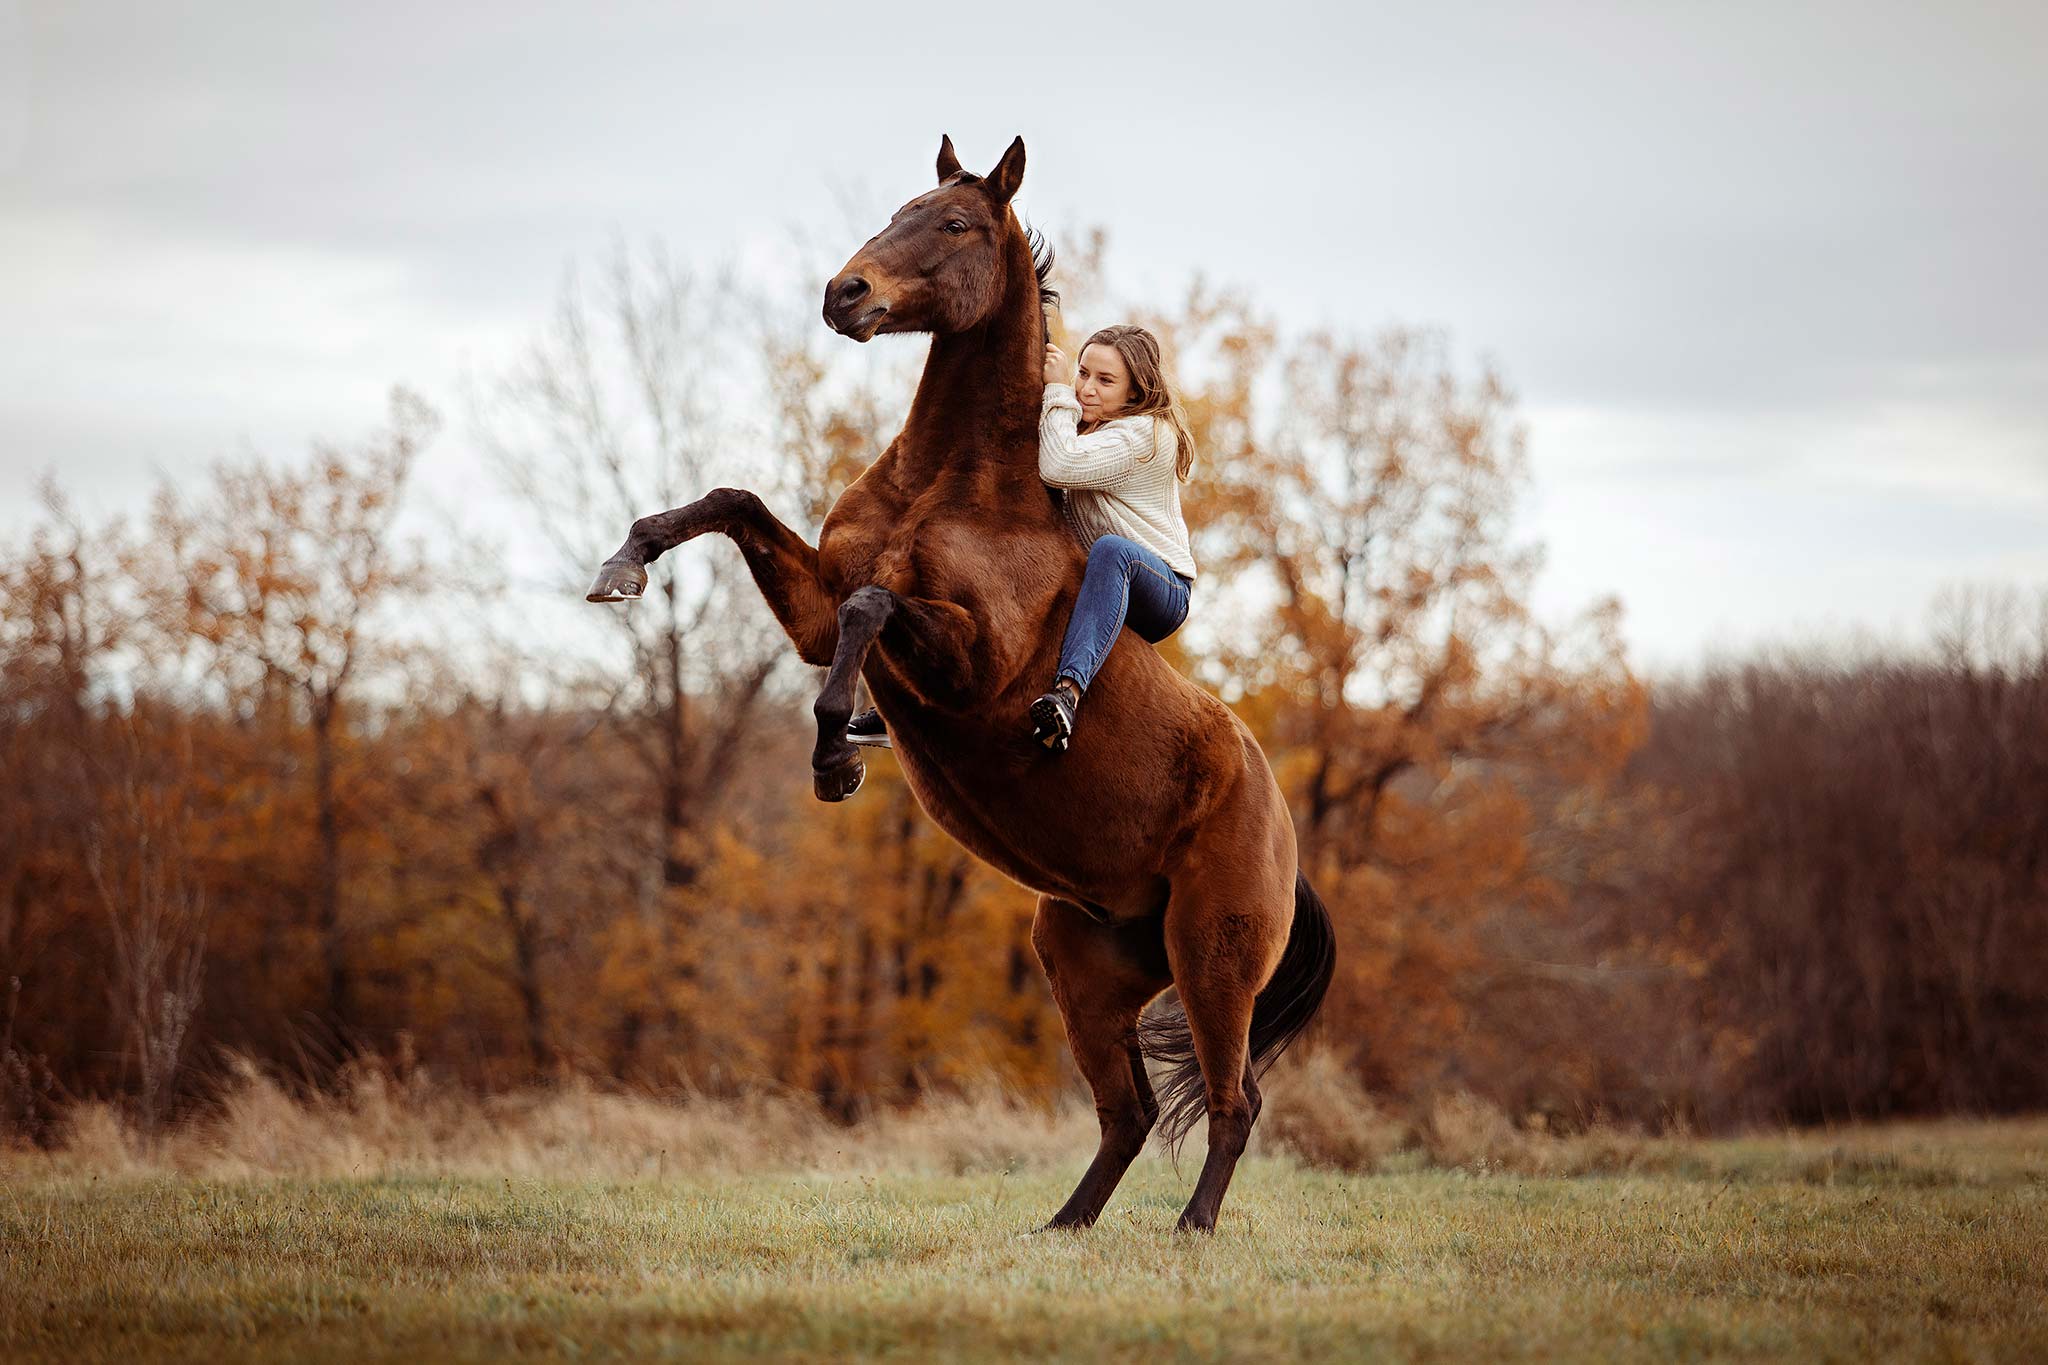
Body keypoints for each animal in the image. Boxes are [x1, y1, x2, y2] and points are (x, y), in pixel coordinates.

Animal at [585, 139, 1335, 1236]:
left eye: (955, 225)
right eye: (903, 206)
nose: (843, 294)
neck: (958, 487)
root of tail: (1283, 835)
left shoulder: (968, 664)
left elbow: (872, 607)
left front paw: (835, 757)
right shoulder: (814, 612)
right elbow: (736, 504)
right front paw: (624, 565)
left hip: (1212, 957)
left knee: (1234, 1100)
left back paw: (1190, 1231)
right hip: (1082, 962)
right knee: (1129, 1110)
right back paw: (1062, 1228)